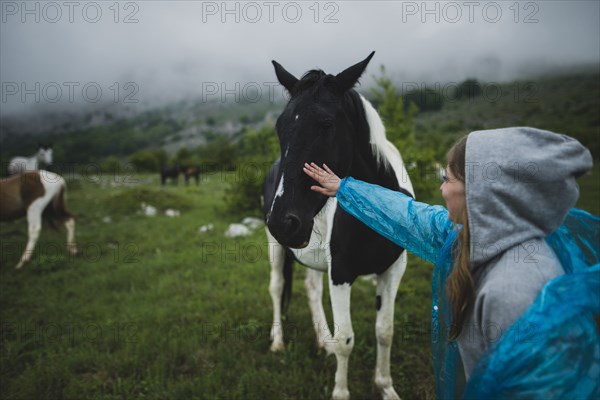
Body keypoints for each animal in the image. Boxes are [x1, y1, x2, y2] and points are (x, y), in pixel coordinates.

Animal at [264, 51, 414, 398]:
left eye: (326, 124)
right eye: (279, 127)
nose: (284, 221)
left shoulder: (393, 269)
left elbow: (385, 331)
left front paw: (386, 387)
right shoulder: (342, 273)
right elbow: (347, 339)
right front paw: (341, 392)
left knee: (310, 288)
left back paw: (323, 341)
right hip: (275, 247)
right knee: (277, 287)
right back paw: (278, 342)